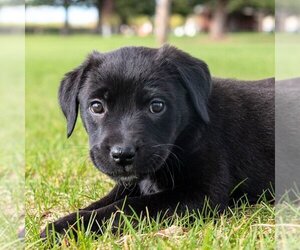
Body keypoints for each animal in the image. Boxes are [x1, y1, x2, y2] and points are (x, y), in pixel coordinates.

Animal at [40, 44, 274, 238]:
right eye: (96, 106)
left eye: (157, 106)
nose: (122, 154)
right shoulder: (131, 184)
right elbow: (104, 202)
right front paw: (65, 223)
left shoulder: (202, 193)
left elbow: (126, 207)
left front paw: (63, 229)